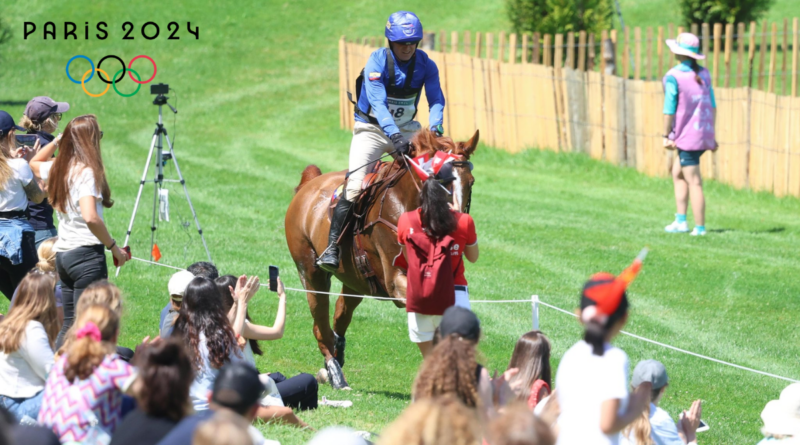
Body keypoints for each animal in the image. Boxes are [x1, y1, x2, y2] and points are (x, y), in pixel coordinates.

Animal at [284, 130, 478, 386]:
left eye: (470, 182)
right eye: (440, 180)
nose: (458, 228)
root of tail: (310, 183)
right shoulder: (395, 280)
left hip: (356, 280)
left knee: (340, 314)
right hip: (310, 273)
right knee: (320, 324)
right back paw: (334, 372)